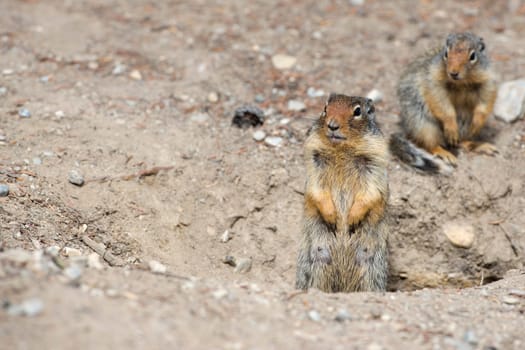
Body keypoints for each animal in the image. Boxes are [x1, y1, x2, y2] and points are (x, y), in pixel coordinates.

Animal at [294, 93, 388, 292]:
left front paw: (352, 218)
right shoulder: (314, 162)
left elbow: (370, 192)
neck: (342, 150)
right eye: (325, 108)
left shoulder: (375, 163)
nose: (332, 125)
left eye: (358, 111)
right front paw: (332, 216)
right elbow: (317, 189)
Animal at [390, 32, 498, 173]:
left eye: (473, 56)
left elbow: (485, 103)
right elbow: (444, 107)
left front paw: (477, 123)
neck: (461, 83)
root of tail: (407, 130)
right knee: (430, 144)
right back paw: (445, 153)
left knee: (460, 142)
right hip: (423, 124)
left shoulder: (488, 82)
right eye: (446, 53)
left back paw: (478, 145)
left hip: (463, 124)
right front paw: (451, 127)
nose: (453, 73)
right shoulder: (434, 83)